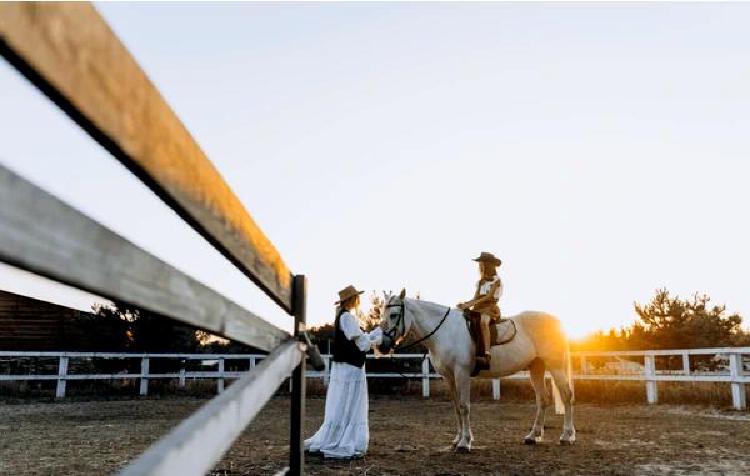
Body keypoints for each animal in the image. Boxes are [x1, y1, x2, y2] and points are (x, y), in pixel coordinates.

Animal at [378, 288, 580, 452]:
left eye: (394, 315)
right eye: (382, 313)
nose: (382, 346)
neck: (445, 332)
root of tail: (557, 322)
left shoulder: (461, 374)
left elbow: (464, 406)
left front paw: (464, 443)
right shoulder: (448, 377)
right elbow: (456, 407)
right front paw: (457, 439)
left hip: (556, 367)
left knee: (567, 396)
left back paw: (566, 436)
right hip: (536, 367)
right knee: (543, 399)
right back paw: (533, 436)